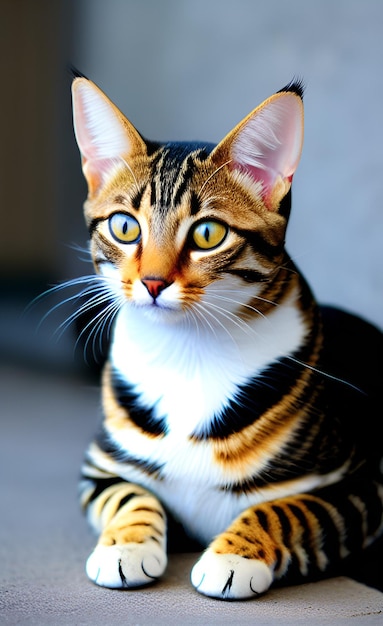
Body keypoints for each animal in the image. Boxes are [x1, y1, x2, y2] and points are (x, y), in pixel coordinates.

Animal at [70, 74, 383, 600]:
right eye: (124, 226)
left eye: (208, 234)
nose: (152, 282)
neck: (188, 352)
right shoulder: (99, 469)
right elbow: (128, 495)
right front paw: (125, 547)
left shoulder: (361, 485)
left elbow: (287, 509)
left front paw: (233, 556)